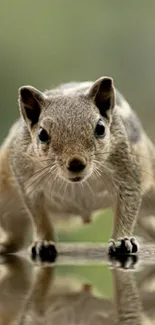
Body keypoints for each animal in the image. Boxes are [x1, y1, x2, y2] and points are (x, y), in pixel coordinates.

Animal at [0, 76, 155, 258]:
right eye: (42, 134)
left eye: (100, 128)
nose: (76, 163)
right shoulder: (28, 184)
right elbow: (39, 217)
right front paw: (44, 242)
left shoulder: (126, 173)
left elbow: (127, 208)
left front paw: (122, 240)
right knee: (16, 237)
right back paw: (5, 246)